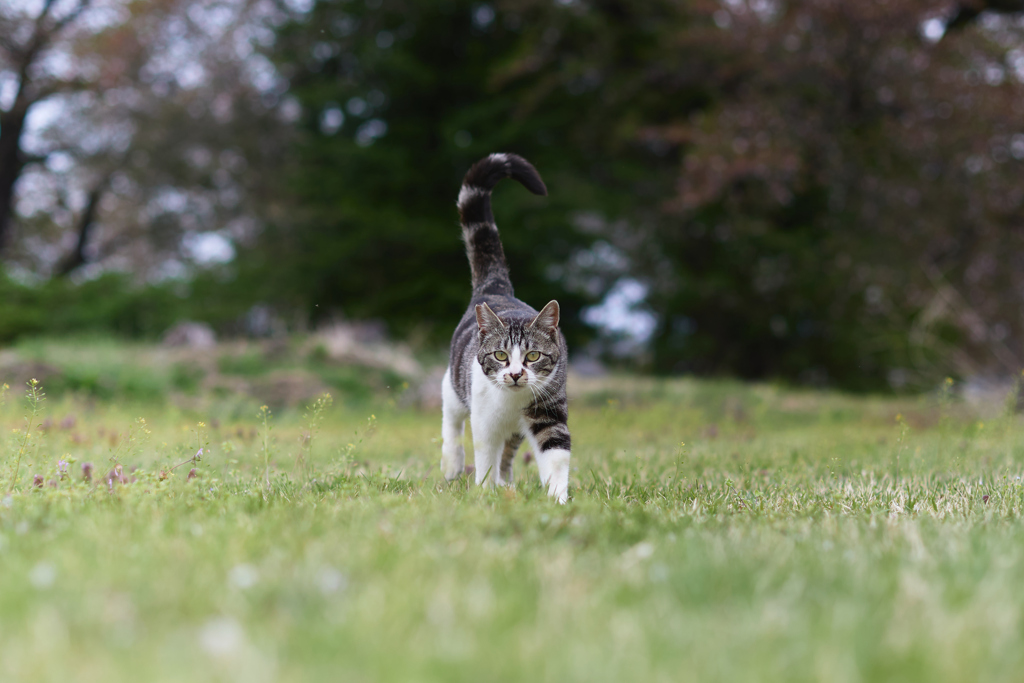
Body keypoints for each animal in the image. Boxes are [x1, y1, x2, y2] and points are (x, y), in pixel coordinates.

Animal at [438, 156, 573, 507]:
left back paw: (507, 481)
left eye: (533, 356)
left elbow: (556, 453)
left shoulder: (548, 409)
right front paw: (485, 493)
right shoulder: (484, 419)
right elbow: (485, 454)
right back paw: (453, 464)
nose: (514, 374)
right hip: (455, 385)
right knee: (451, 419)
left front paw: (558, 499)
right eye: (500, 355)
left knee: (510, 451)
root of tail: (496, 288)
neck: (514, 401)